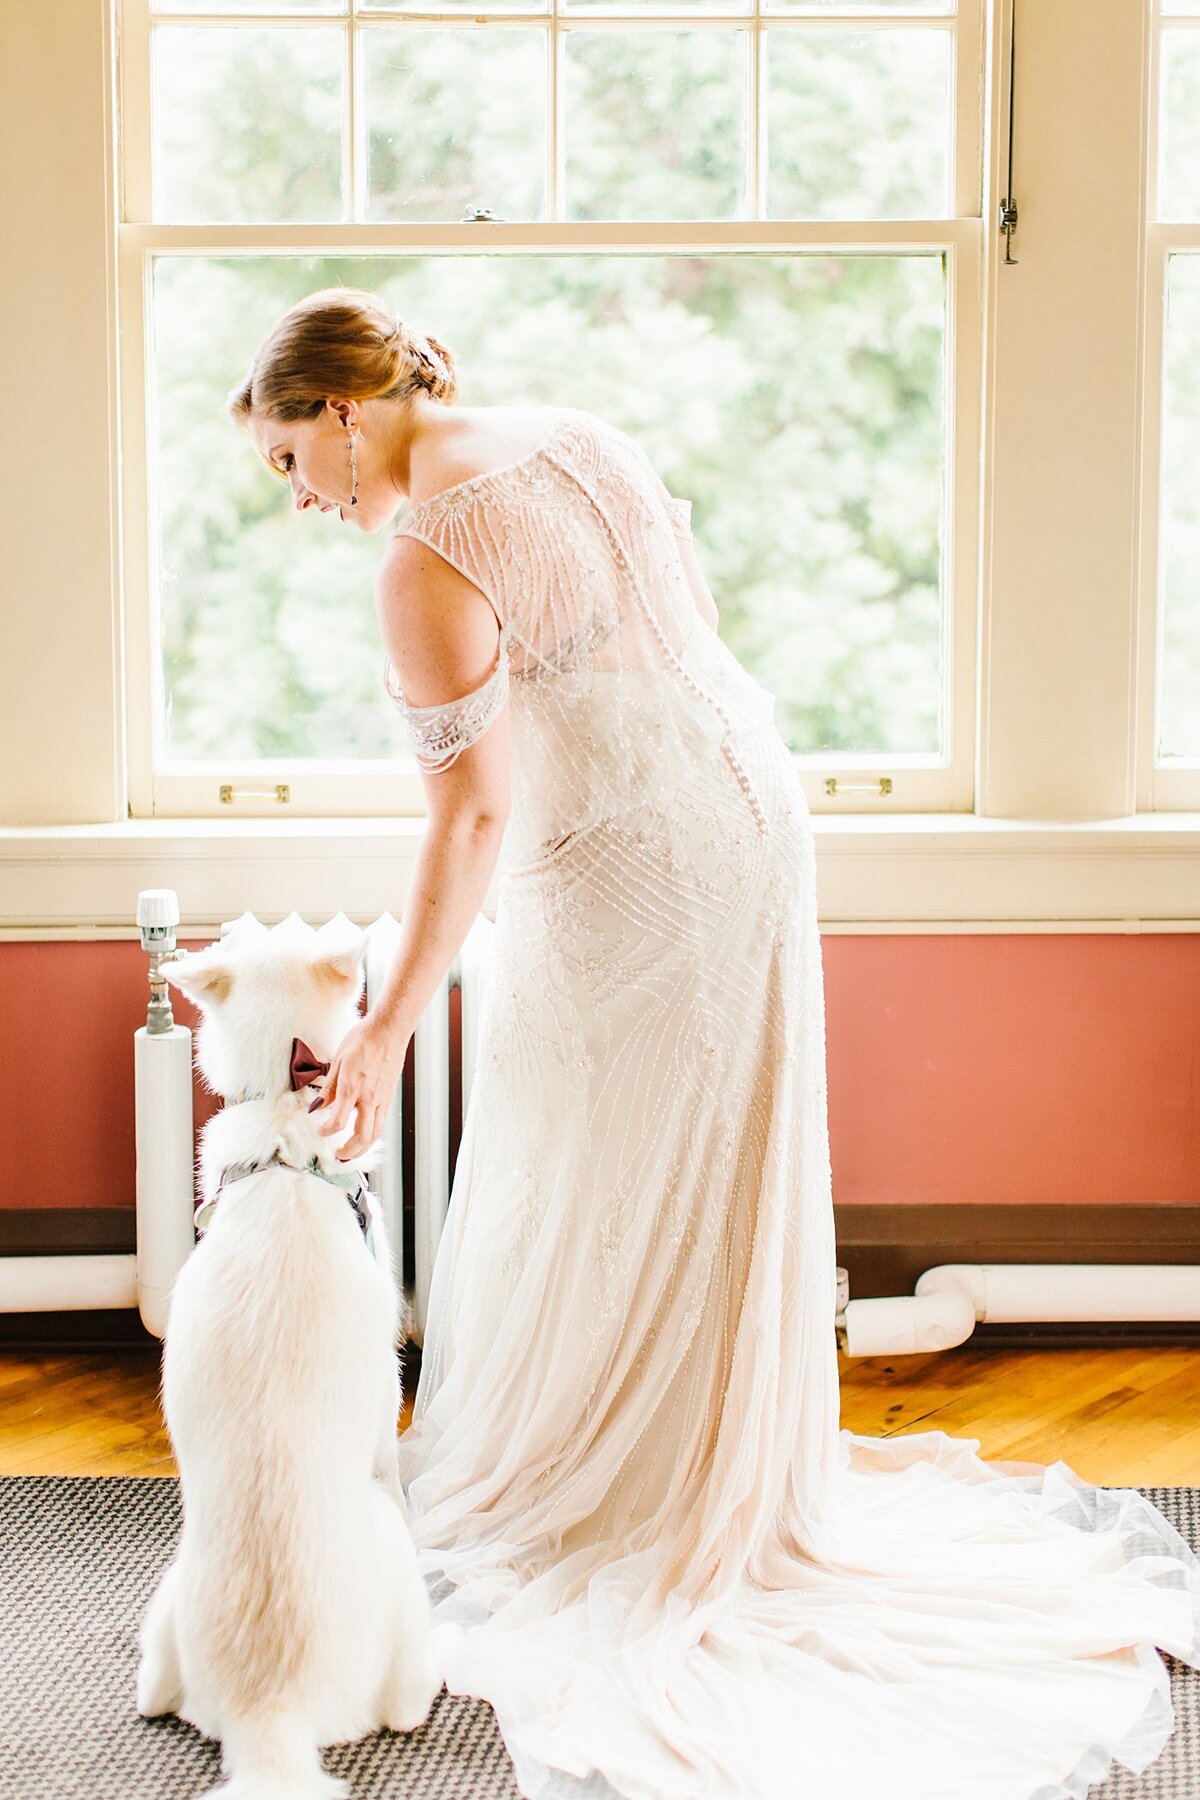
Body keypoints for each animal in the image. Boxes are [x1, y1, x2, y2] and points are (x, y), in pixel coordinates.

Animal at [137, 914, 446, 1800]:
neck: (283, 1122)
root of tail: (266, 1712)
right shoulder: (385, 1385)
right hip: (395, 1584)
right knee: (407, 1702)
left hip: (165, 1601)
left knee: (151, 1691)